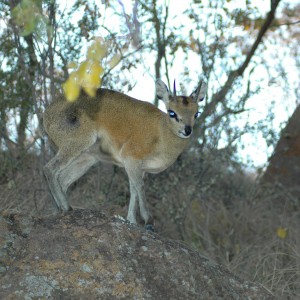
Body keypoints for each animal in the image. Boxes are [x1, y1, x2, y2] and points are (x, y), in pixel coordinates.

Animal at [43, 78, 206, 229]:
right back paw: (66, 207)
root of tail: (47, 114)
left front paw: (131, 220)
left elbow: (133, 189)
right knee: (49, 169)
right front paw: (148, 221)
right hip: (76, 145)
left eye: (196, 113)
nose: (187, 130)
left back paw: (61, 209)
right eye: (172, 112)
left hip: (86, 158)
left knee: (63, 180)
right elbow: (139, 186)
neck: (161, 134)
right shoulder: (131, 158)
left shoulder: (139, 168)